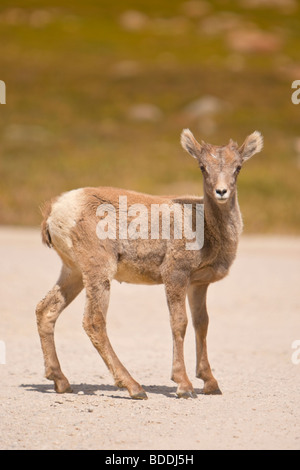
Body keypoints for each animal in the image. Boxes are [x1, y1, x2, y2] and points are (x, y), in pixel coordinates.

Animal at [35, 129, 262, 400]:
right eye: (202, 166)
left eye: (238, 167)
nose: (221, 191)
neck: (204, 227)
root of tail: (54, 212)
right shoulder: (175, 274)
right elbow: (180, 322)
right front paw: (184, 386)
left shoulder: (198, 283)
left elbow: (202, 323)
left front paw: (210, 383)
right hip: (98, 271)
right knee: (93, 322)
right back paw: (134, 387)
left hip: (74, 272)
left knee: (46, 310)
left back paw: (61, 381)